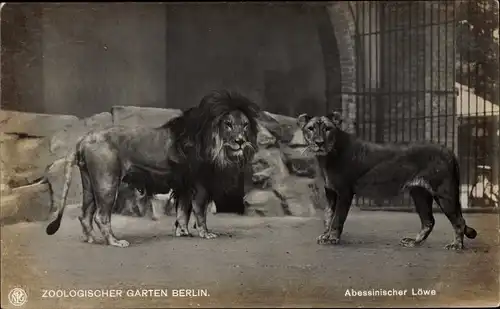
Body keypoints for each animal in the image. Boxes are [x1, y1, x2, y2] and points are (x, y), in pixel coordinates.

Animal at [46, 89, 262, 245]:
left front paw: (183, 232)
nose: (241, 141)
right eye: (228, 124)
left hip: (91, 183)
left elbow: (183, 212)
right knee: (101, 216)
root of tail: (84, 138)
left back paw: (91, 239)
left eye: (245, 125)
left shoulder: (184, 186)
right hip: (107, 181)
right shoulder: (199, 186)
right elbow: (199, 212)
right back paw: (115, 242)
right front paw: (205, 233)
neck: (213, 143)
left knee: (85, 215)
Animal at [298, 110, 478, 250]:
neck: (326, 158)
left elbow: (337, 218)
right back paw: (413, 242)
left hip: (444, 192)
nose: (319, 143)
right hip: (419, 193)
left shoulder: (344, 192)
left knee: (459, 220)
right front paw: (325, 235)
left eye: (327, 129)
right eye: (311, 129)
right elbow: (328, 215)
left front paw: (333, 238)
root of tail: (449, 151)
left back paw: (456, 245)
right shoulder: (330, 191)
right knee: (429, 221)